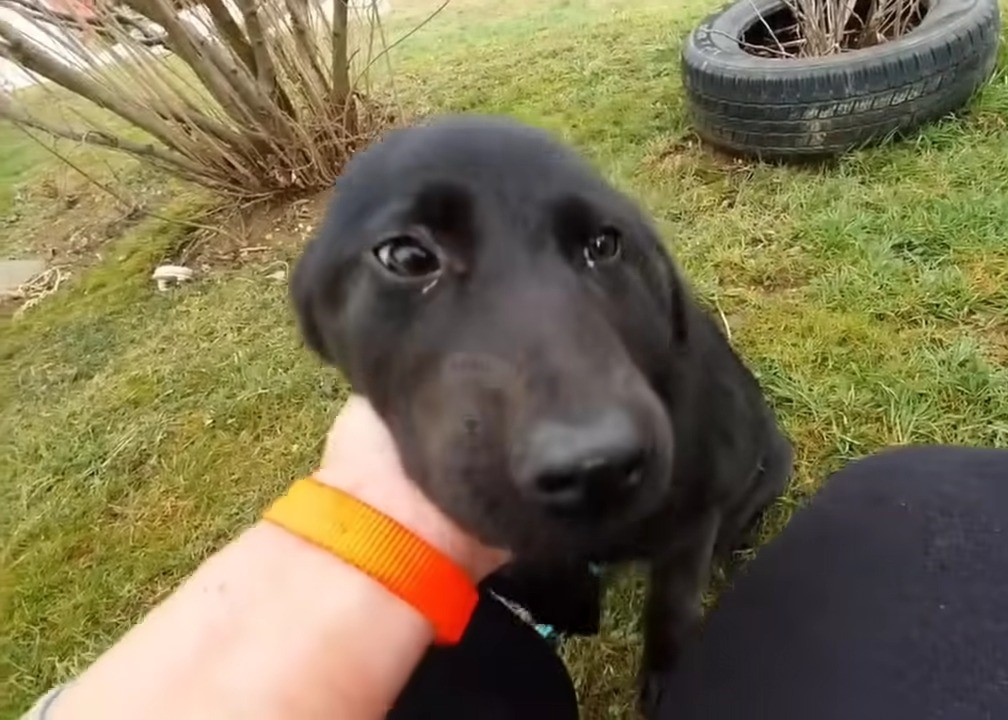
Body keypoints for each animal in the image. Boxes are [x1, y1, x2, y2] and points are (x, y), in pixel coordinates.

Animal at [288, 114, 790, 709]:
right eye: (407, 257)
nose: (597, 469)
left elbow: (672, 604)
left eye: (604, 243)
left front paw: (668, 679)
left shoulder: (692, 517)